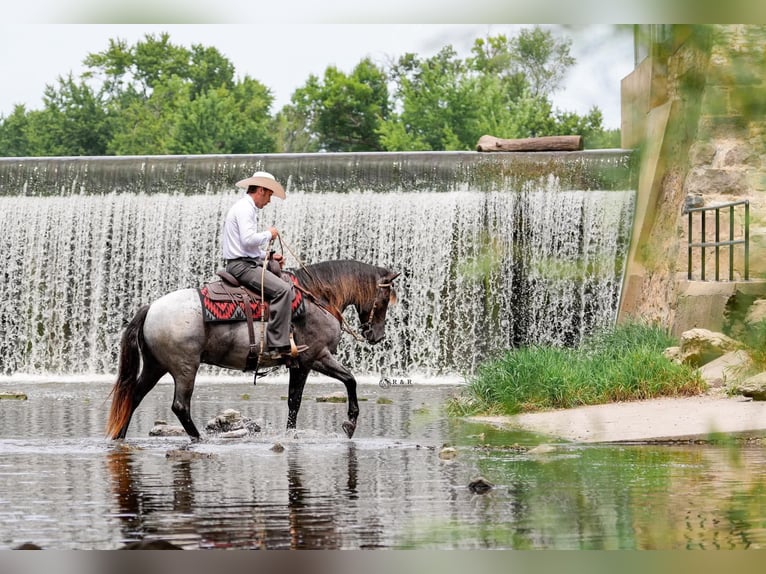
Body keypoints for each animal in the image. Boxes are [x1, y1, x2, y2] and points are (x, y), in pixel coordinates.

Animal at [105, 260, 400, 441]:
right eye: (385, 298)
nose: (377, 336)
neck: (317, 298)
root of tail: (151, 307)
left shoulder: (301, 363)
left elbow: (294, 400)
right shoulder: (313, 358)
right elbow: (346, 381)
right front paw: (349, 424)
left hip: (155, 365)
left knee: (134, 395)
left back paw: (120, 435)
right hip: (184, 367)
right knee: (180, 406)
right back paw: (198, 438)